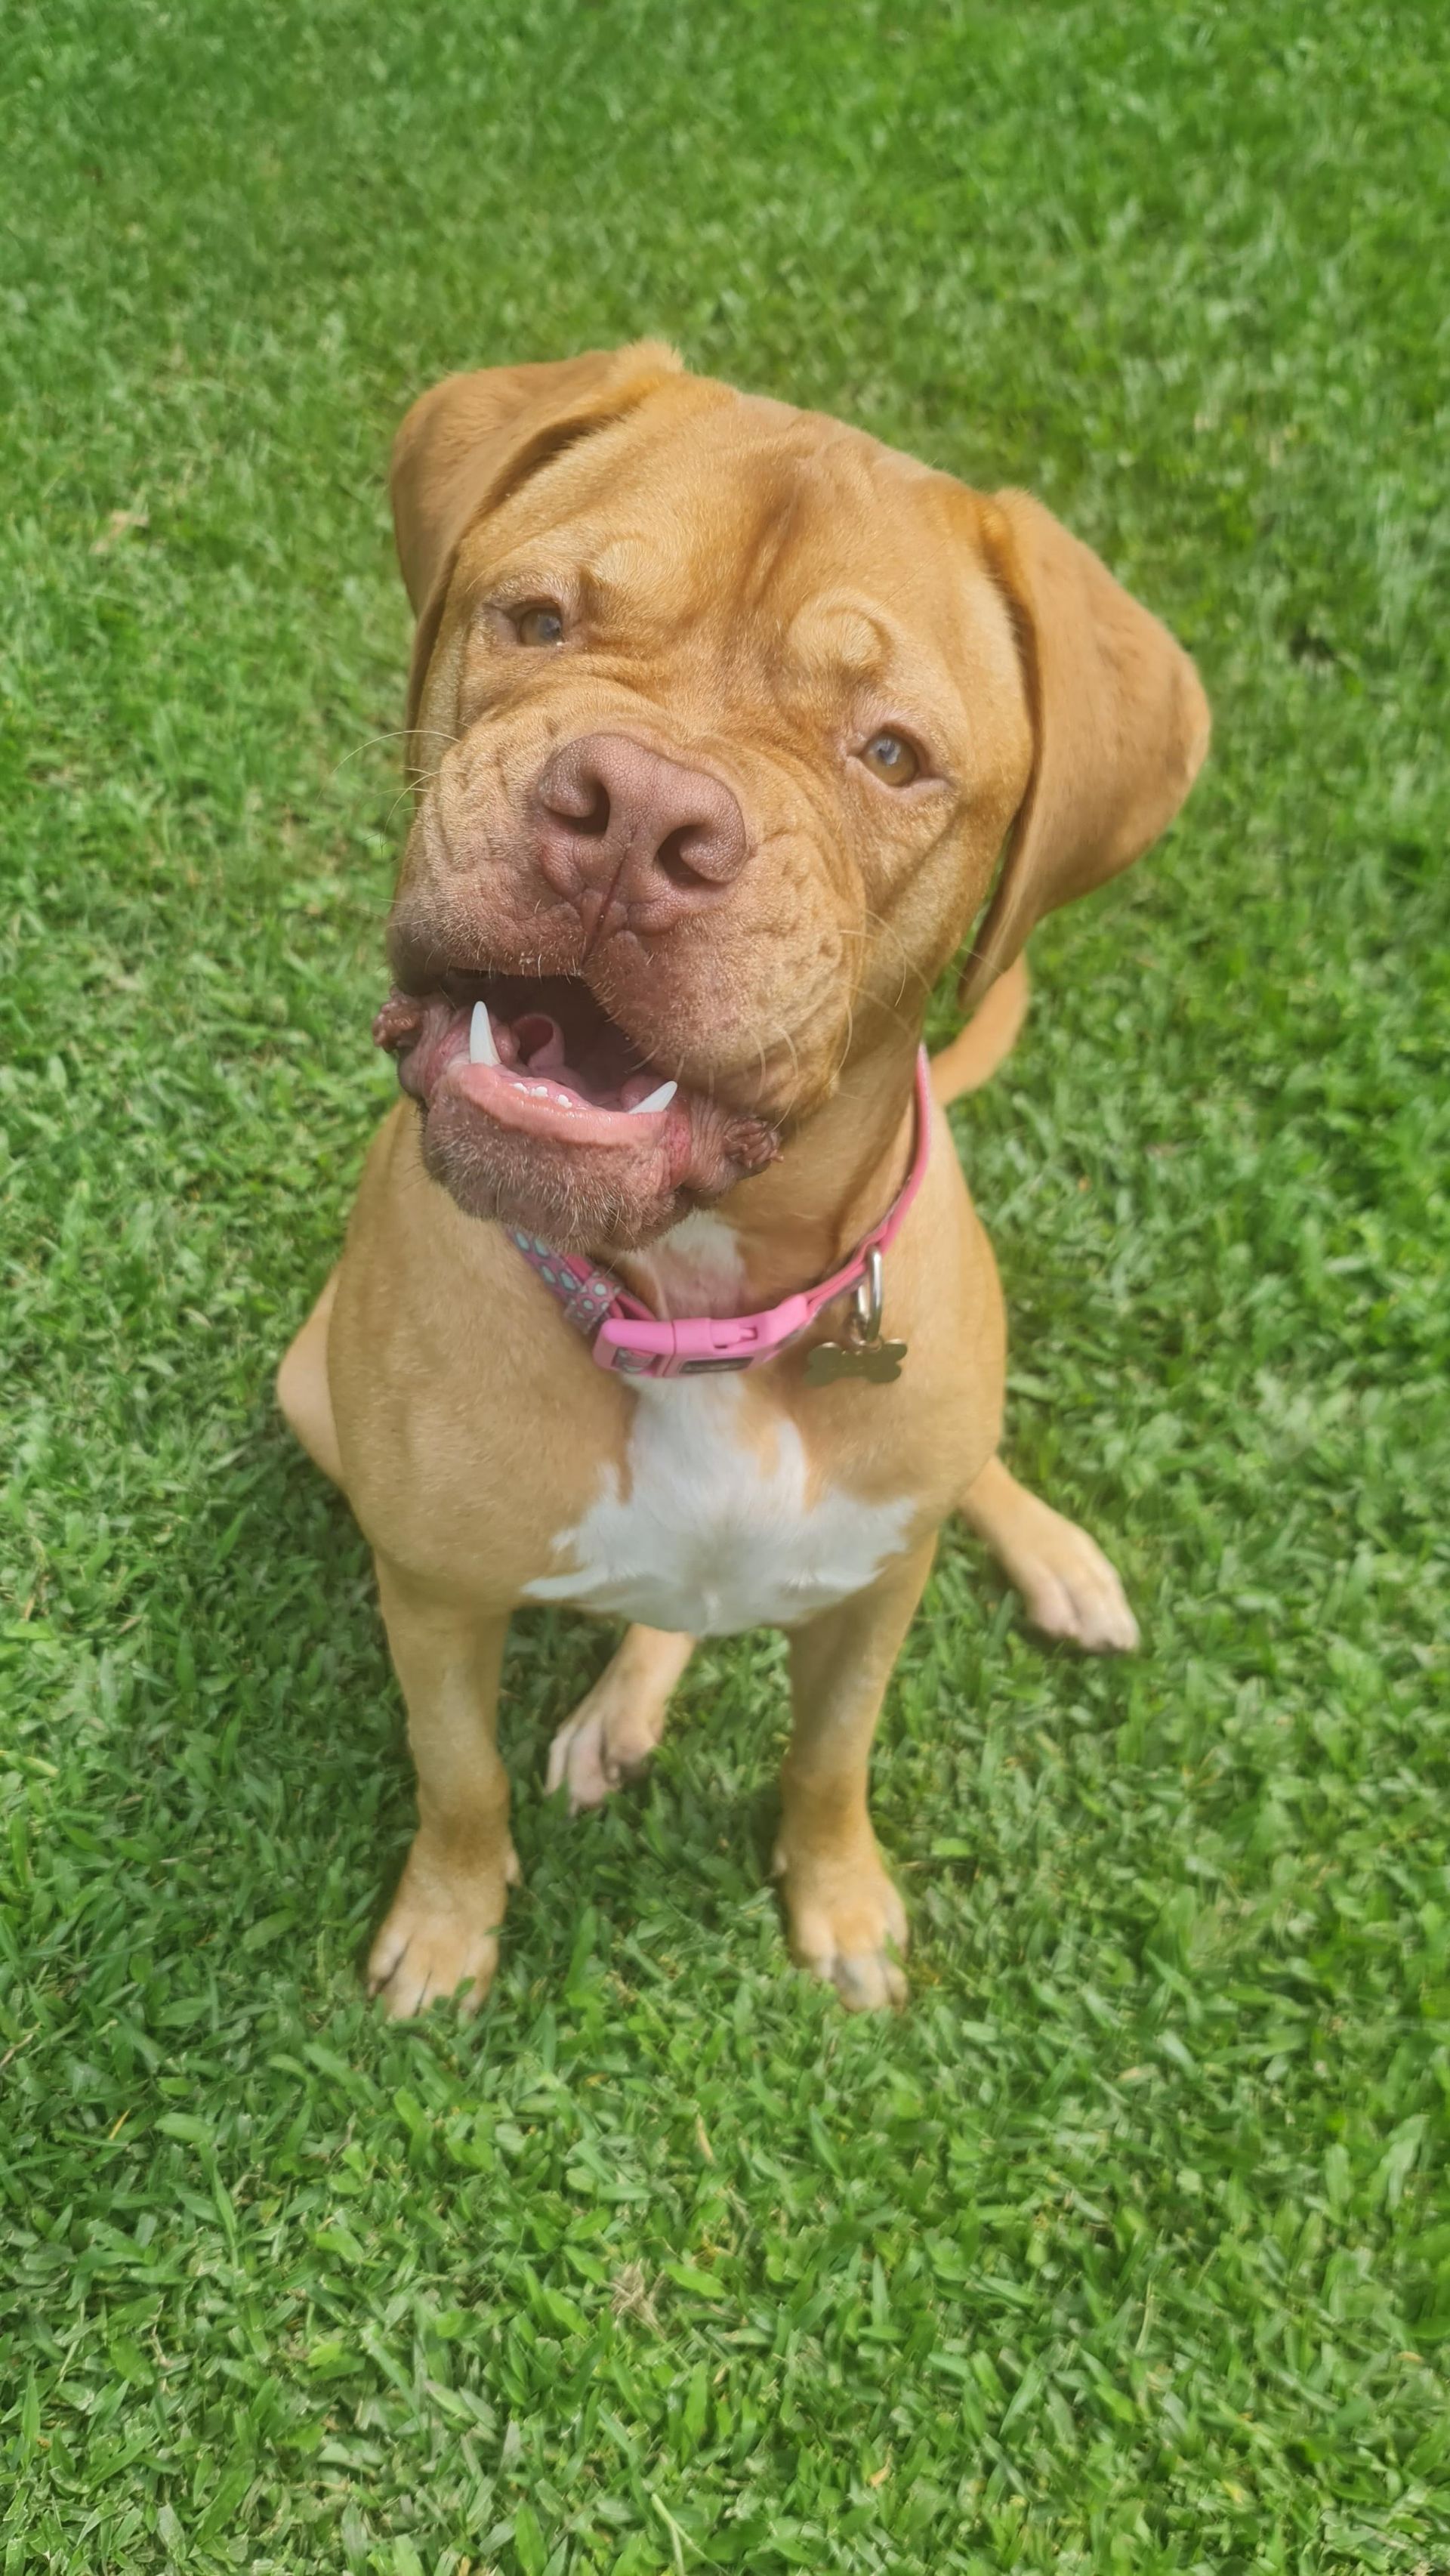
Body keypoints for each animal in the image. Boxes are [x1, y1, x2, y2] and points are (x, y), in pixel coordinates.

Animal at [277, 341, 1209, 2018]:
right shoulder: (432, 1595)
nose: (637, 812)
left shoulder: (872, 1602)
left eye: (892, 754)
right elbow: (458, 1780)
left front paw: (840, 1903)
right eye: (539, 618)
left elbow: (832, 1761)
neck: (698, 1302)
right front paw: (448, 1928)